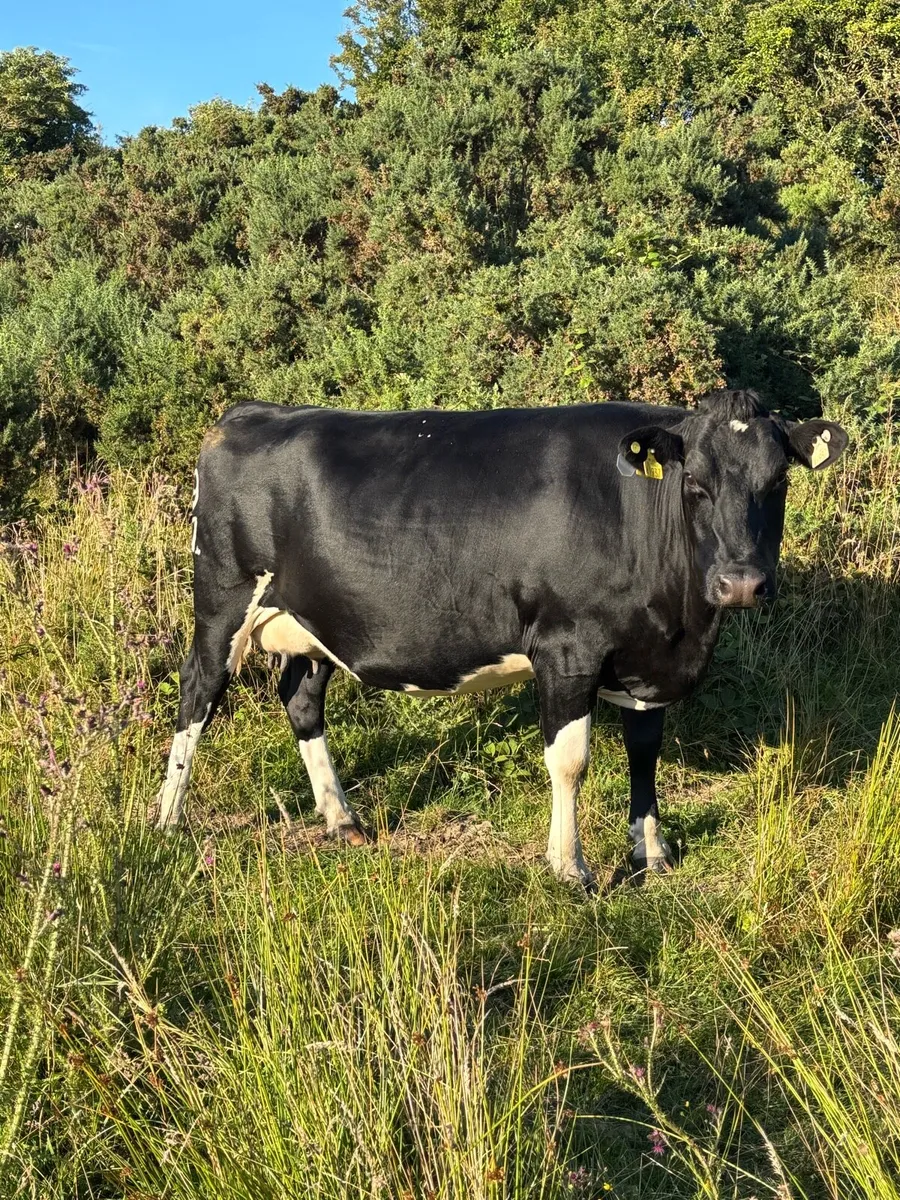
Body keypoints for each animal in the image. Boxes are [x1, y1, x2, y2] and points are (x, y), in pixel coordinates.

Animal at [156, 389, 848, 885]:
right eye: (696, 485)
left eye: (778, 483)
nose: (740, 583)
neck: (679, 628)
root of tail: (250, 412)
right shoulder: (567, 648)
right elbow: (570, 761)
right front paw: (571, 868)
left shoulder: (646, 661)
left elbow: (644, 753)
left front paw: (651, 853)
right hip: (222, 596)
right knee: (198, 692)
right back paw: (168, 821)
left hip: (316, 619)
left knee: (300, 698)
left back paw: (341, 819)